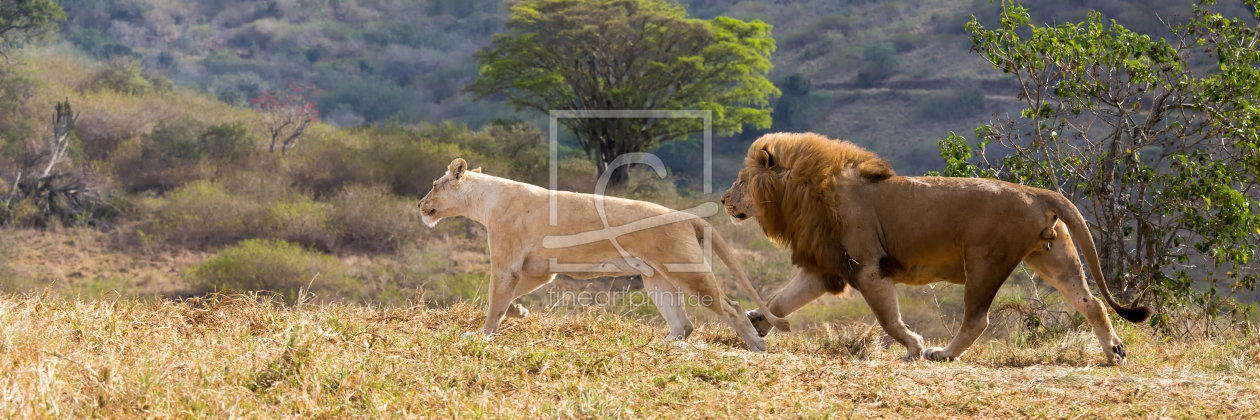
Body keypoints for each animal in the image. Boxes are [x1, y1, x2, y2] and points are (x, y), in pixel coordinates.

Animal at [418, 157, 791, 350]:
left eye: (434, 185)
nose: (420, 204)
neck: (484, 199)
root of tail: (687, 216)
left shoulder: (507, 264)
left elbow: (495, 300)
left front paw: (481, 335)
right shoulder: (539, 270)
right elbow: (506, 299)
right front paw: (520, 312)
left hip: (687, 271)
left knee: (731, 307)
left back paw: (756, 348)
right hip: (657, 279)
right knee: (684, 325)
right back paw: (658, 346)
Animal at [730, 132, 1154, 360]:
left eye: (739, 181)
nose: (722, 200)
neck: (800, 190)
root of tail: (1037, 192)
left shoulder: (868, 266)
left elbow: (889, 318)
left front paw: (915, 346)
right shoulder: (826, 266)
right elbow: (782, 299)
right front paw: (756, 323)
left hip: (983, 261)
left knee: (977, 319)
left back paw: (944, 354)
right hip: (1052, 257)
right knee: (1092, 302)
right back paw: (1115, 353)